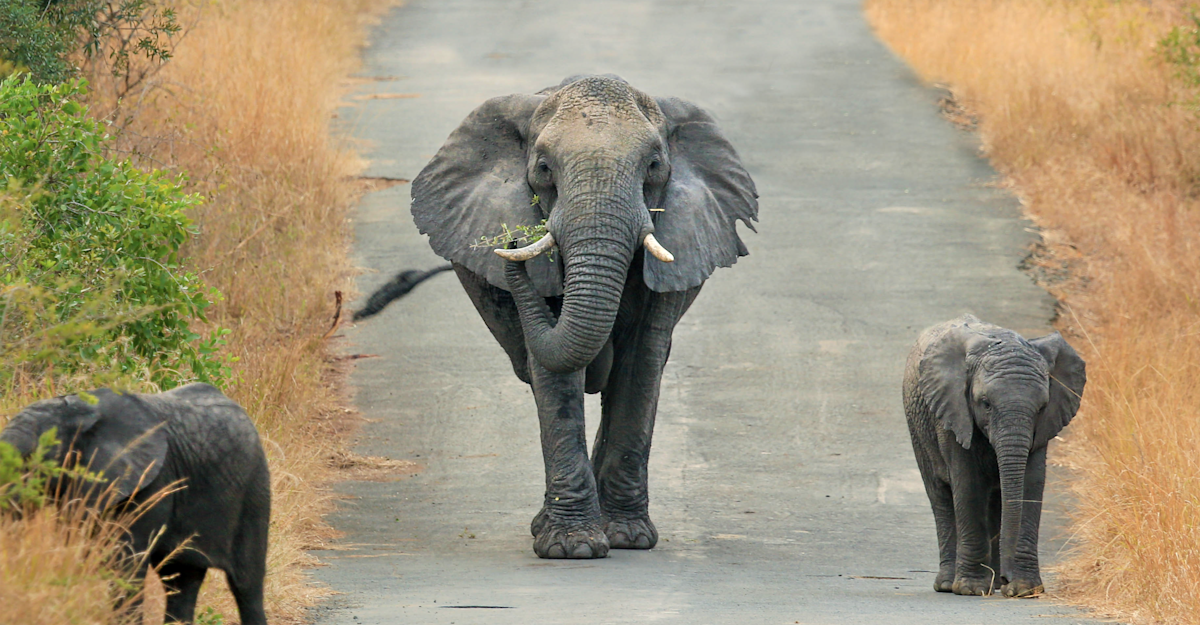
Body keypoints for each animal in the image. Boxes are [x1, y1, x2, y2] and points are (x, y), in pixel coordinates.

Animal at [0, 383, 270, 625]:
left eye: (31, 458)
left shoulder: (153, 482)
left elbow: (126, 564)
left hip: (255, 489)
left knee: (246, 584)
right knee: (181, 579)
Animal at [405, 74, 758, 559]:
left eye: (654, 166)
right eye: (543, 169)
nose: (514, 240)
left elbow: (642, 362)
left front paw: (628, 539)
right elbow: (556, 378)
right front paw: (572, 548)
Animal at [903, 314, 1086, 597]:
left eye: (1042, 407)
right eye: (985, 403)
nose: (1007, 577)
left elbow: (1030, 483)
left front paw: (1024, 589)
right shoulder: (953, 412)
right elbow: (968, 485)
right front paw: (971, 589)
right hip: (918, 427)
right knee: (940, 496)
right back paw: (949, 584)